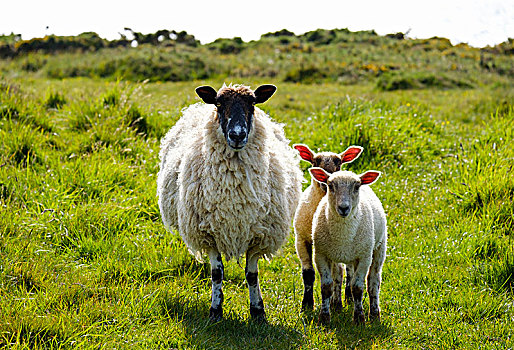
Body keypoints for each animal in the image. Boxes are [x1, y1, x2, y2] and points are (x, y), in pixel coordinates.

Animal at [155, 83, 300, 322]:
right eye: (219, 104)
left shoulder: (257, 235)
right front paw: (215, 310)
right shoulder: (208, 233)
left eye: (252, 103)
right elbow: (217, 273)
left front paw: (258, 311)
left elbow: (252, 275)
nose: (237, 135)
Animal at [290, 144, 362, 310]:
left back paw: (347, 296)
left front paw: (336, 301)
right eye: (315, 162)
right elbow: (308, 273)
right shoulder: (301, 239)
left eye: (339, 163)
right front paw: (307, 304)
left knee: (347, 270)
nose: (325, 183)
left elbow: (339, 273)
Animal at [306, 167, 386, 326]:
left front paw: (359, 318)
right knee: (338, 275)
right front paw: (324, 318)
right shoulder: (320, 255)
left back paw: (374, 314)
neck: (343, 236)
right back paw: (336, 304)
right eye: (330, 186)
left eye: (356, 187)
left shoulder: (364, 257)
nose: (343, 208)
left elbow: (357, 287)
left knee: (373, 281)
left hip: (379, 248)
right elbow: (326, 287)